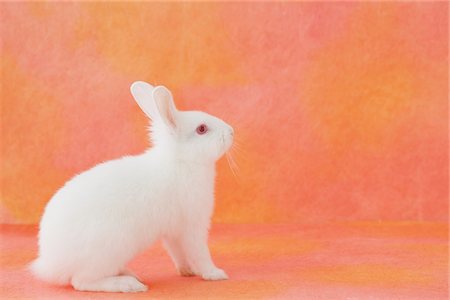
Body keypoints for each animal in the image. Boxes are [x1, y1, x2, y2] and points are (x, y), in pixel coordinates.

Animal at [29, 81, 234, 292]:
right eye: (202, 129)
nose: (231, 131)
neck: (181, 161)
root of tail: (51, 264)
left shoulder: (173, 232)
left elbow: (178, 253)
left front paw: (187, 271)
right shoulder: (192, 226)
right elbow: (200, 252)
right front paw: (215, 274)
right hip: (109, 249)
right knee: (82, 281)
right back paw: (128, 284)